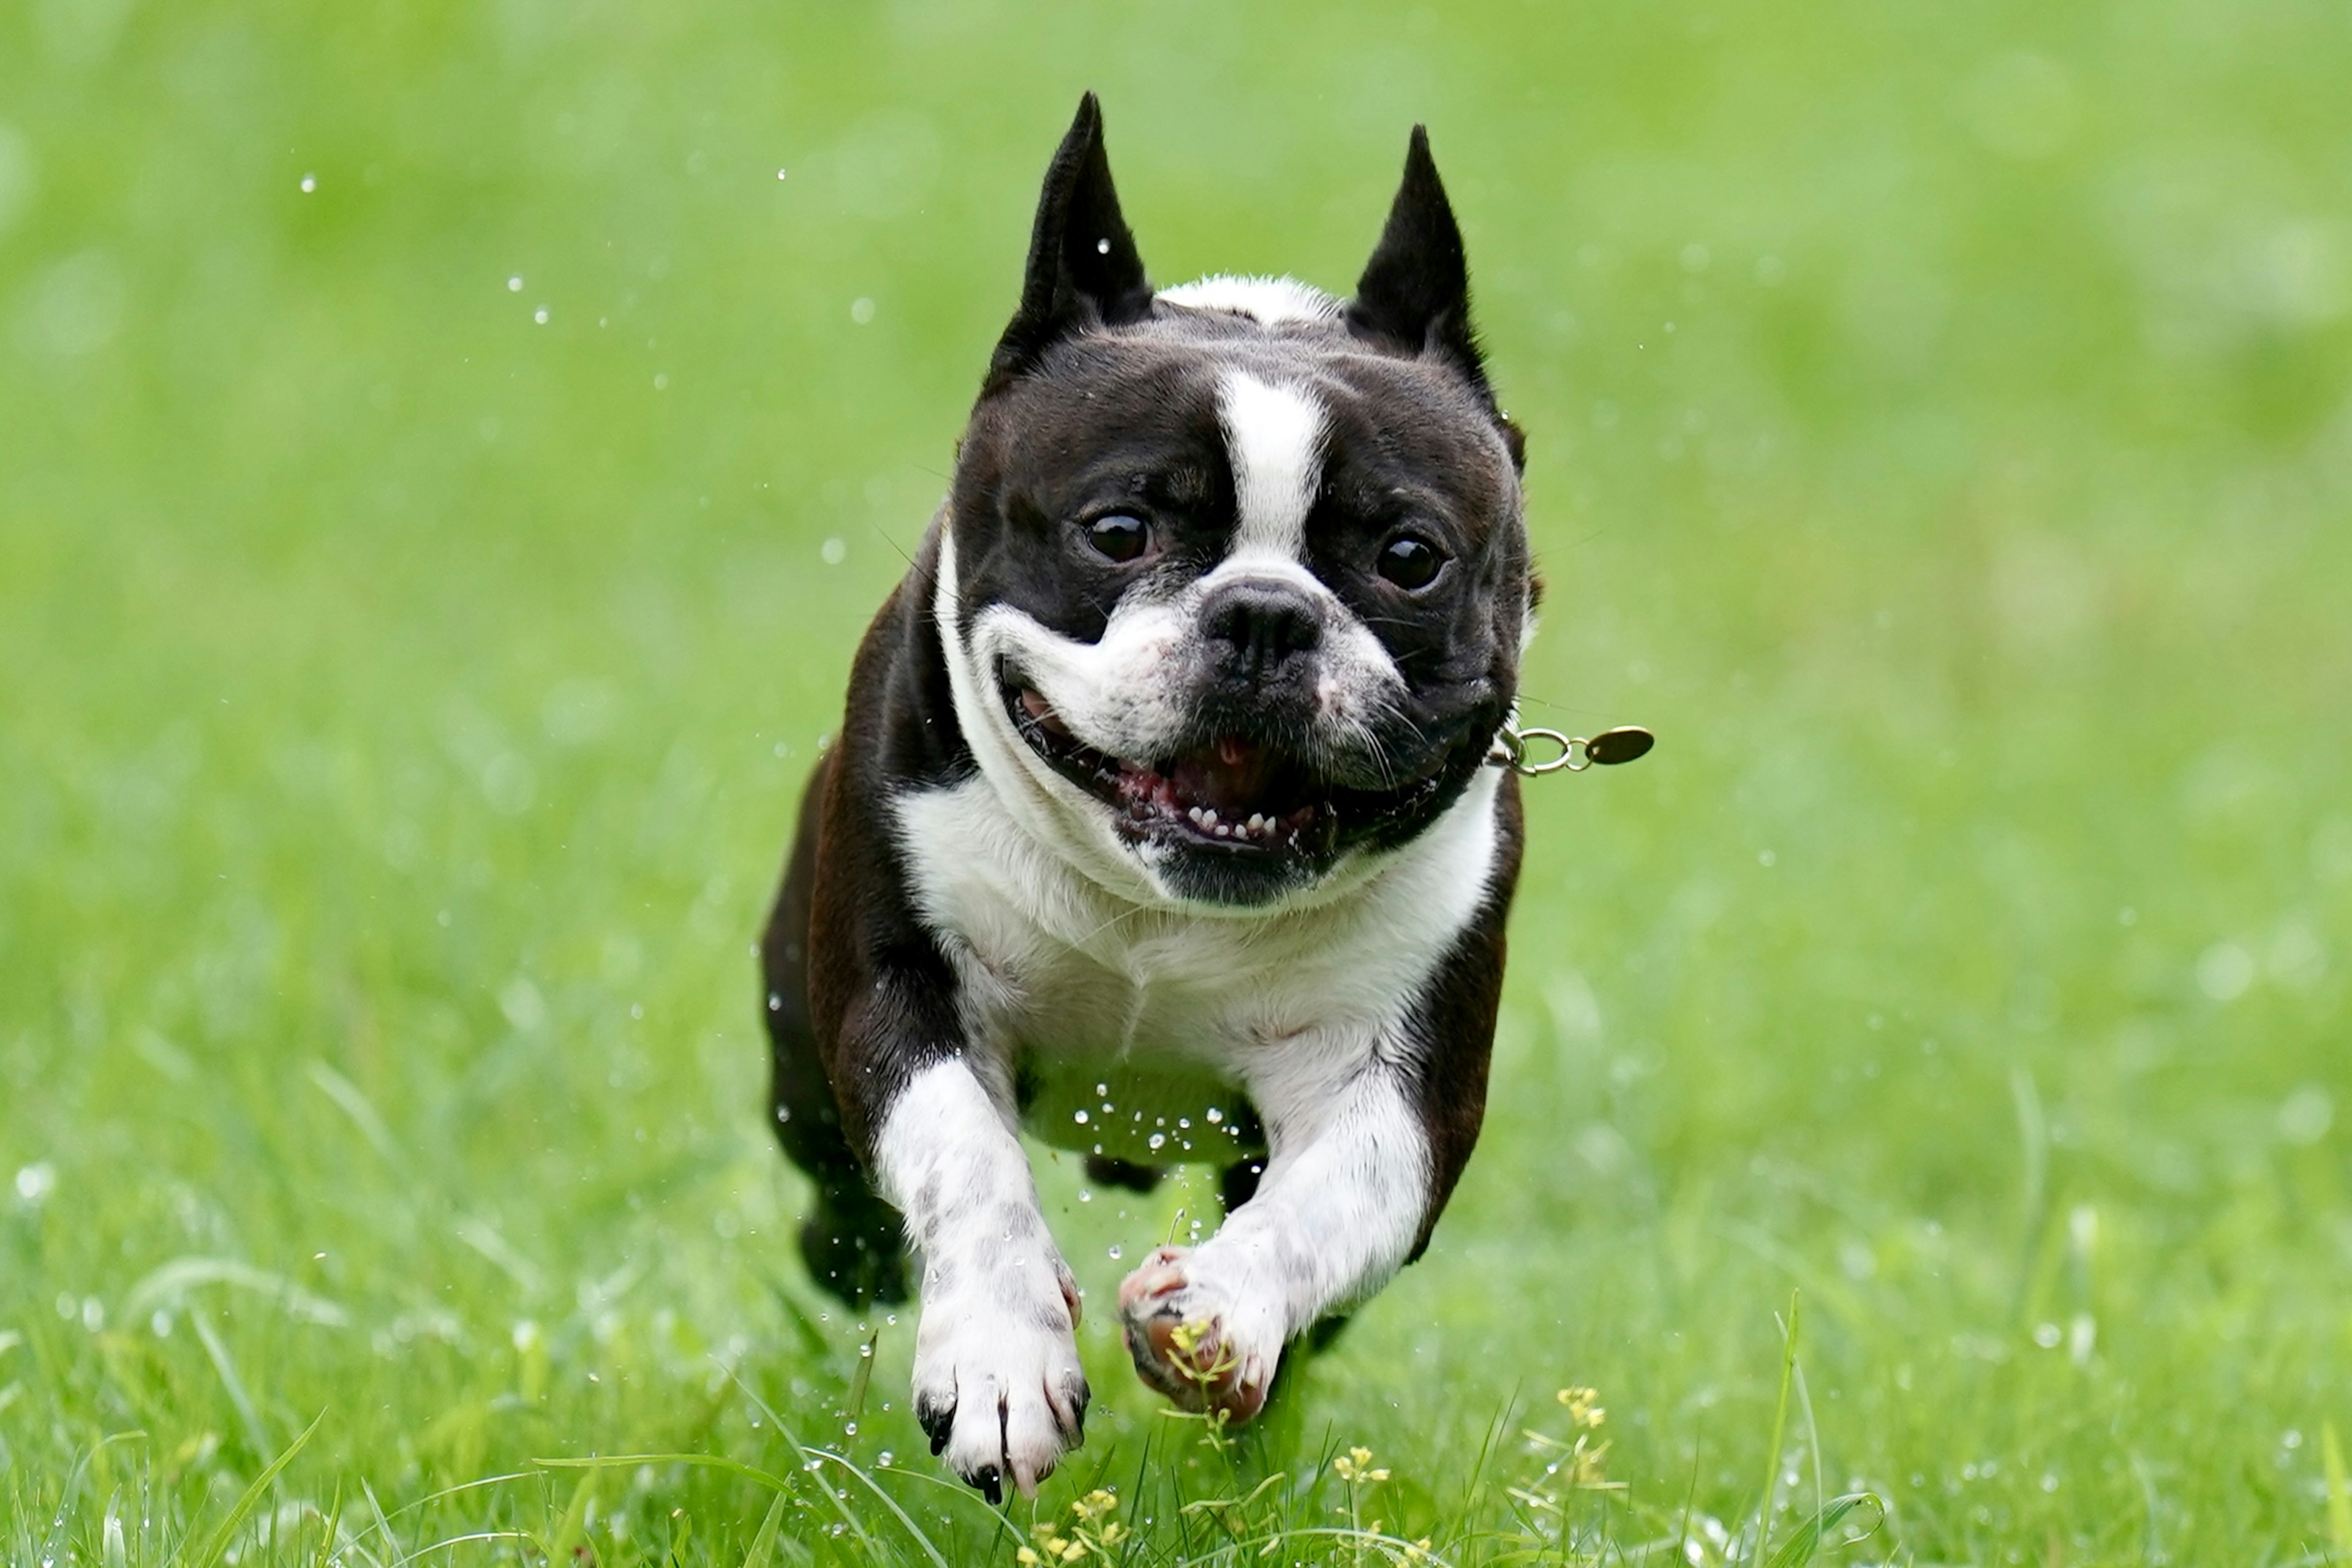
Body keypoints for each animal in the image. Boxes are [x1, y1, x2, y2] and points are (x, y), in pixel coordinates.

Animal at [762, 92, 1533, 1504]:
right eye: (1119, 531)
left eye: (1410, 557)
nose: (1266, 614)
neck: (1161, 909)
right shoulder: (897, 989)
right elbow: (964, 1156)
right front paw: (998, 1359)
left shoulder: (1401, 1085)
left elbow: (1331, 1202)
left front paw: (1224, 1309)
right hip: (799, 1053)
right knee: (845, 1198)